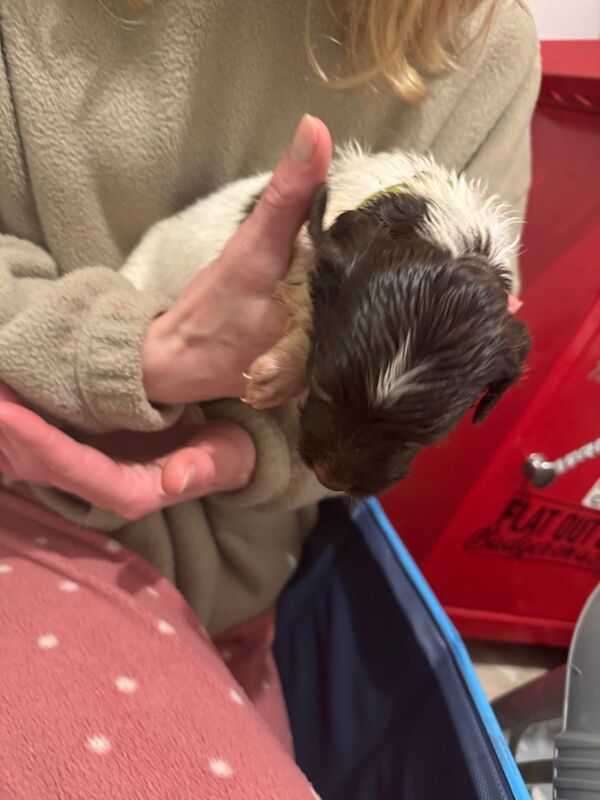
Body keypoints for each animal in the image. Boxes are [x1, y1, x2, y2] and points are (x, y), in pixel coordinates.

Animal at [120, 143, 528, 494]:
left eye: (425, 437)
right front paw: (280, 374)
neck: (447, 235)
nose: (330, 481)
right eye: (319, 386)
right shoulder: (313, 239)